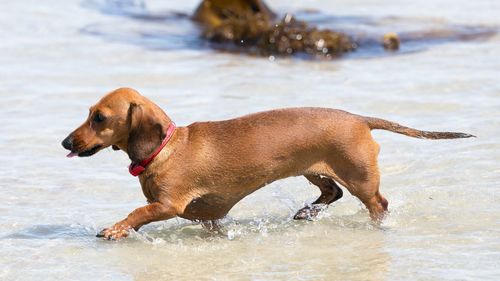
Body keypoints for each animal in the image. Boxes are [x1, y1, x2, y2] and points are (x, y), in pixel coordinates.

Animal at [61, 87, 472, 238]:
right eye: (88, 112)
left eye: (99, 117)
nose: (65, 142)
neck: (167, 147)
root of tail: (359, 118)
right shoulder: (206, 216)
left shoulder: (167, 205)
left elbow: (136, 213)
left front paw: (115, 229)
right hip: (314, 170)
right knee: (332, 193)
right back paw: (307, 212)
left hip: (361, 179)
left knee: (378, 204)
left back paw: (376, 226)